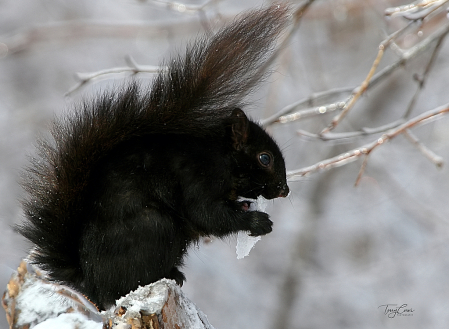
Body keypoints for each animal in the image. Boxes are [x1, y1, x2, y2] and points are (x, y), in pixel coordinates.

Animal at [17, 3, 288, 308]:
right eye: (264, 158)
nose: (285, 189)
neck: (223, 158)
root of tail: (91, 282)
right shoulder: (199, 175)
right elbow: (207, 214)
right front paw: (257, 222)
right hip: (156, 227)